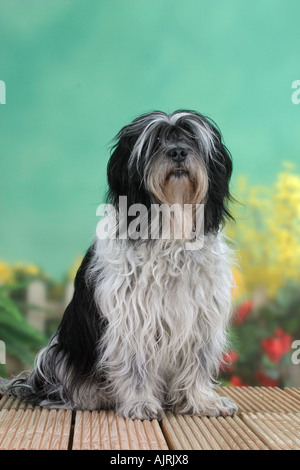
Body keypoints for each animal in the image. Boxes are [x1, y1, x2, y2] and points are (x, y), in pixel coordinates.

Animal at [1, 112, 237, 420]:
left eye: (192, 138)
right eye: (155, 141)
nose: (178, 152)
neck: (169, 230)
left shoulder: (201, 316)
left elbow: (197, 364)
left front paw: (203, 401)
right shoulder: (132, 316)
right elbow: (135, 364)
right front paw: (140, 403)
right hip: (58, 353)